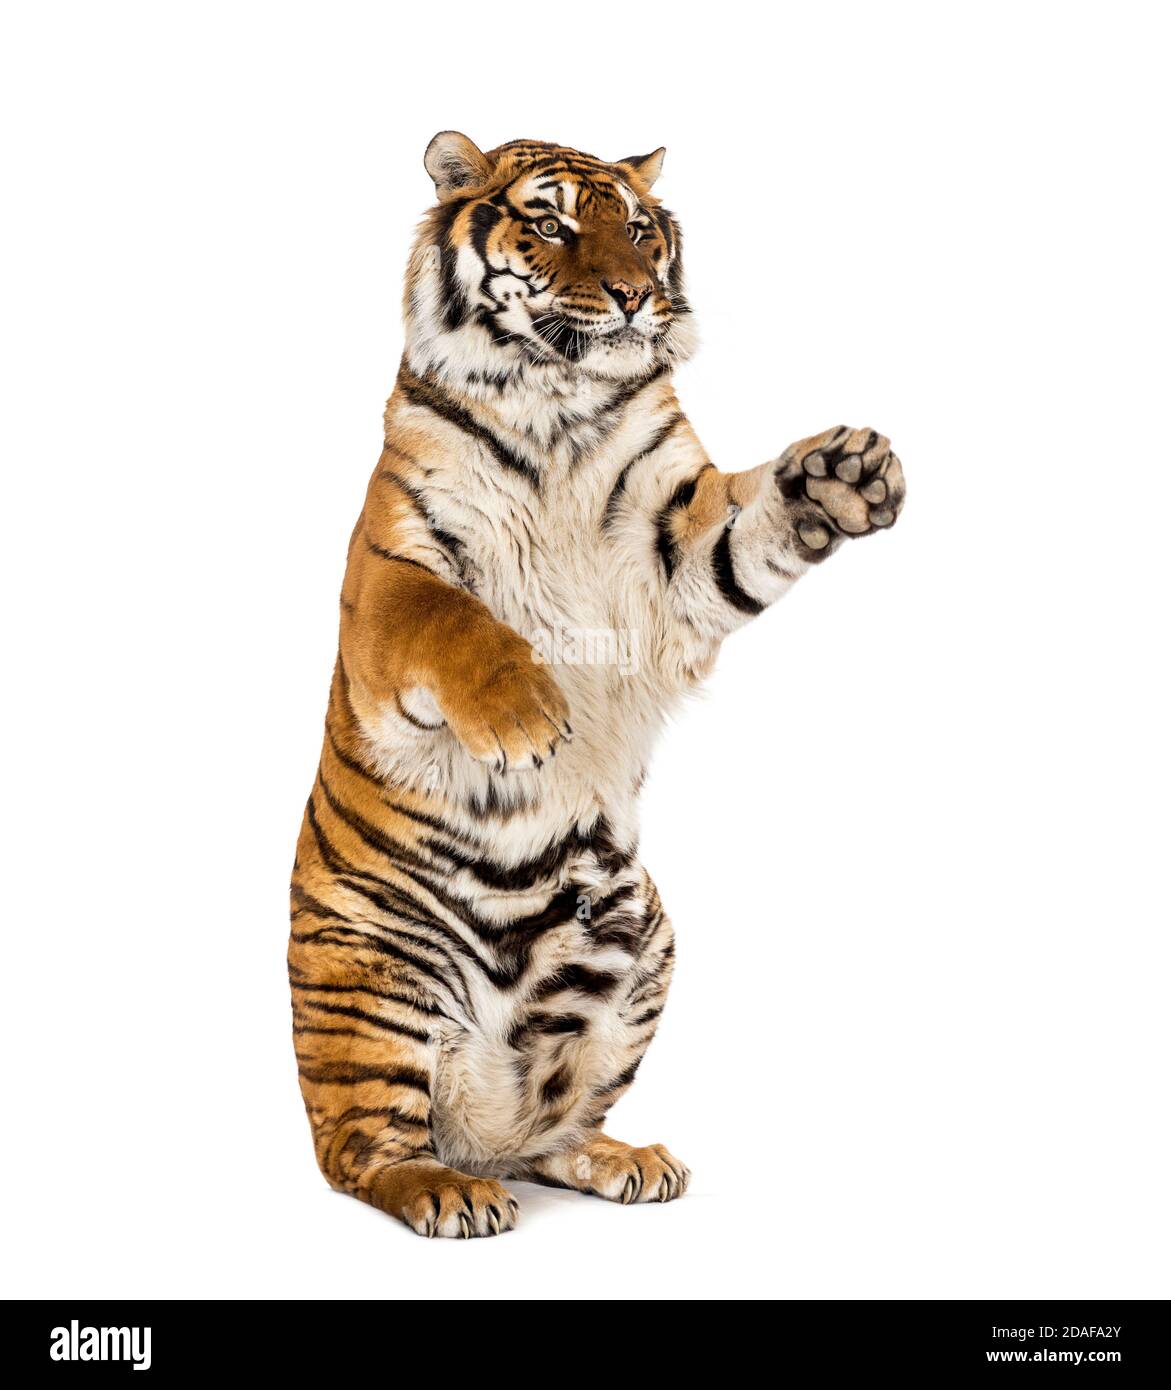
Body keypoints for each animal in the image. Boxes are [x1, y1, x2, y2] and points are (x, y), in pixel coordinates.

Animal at [288, 132, 906, 1238]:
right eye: (550, 224)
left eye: (640, 229)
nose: (630, 296)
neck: (556, 409)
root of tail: (476, 1133)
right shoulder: (388, 572)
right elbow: (455, 621)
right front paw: (528, 716)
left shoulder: (677, 549)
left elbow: (749, 524)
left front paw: (842, 474)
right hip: (374, 977)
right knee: (361, 1151)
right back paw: (445, 1192)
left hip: (642, 944)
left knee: (548, 1129)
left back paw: (622, 1160)